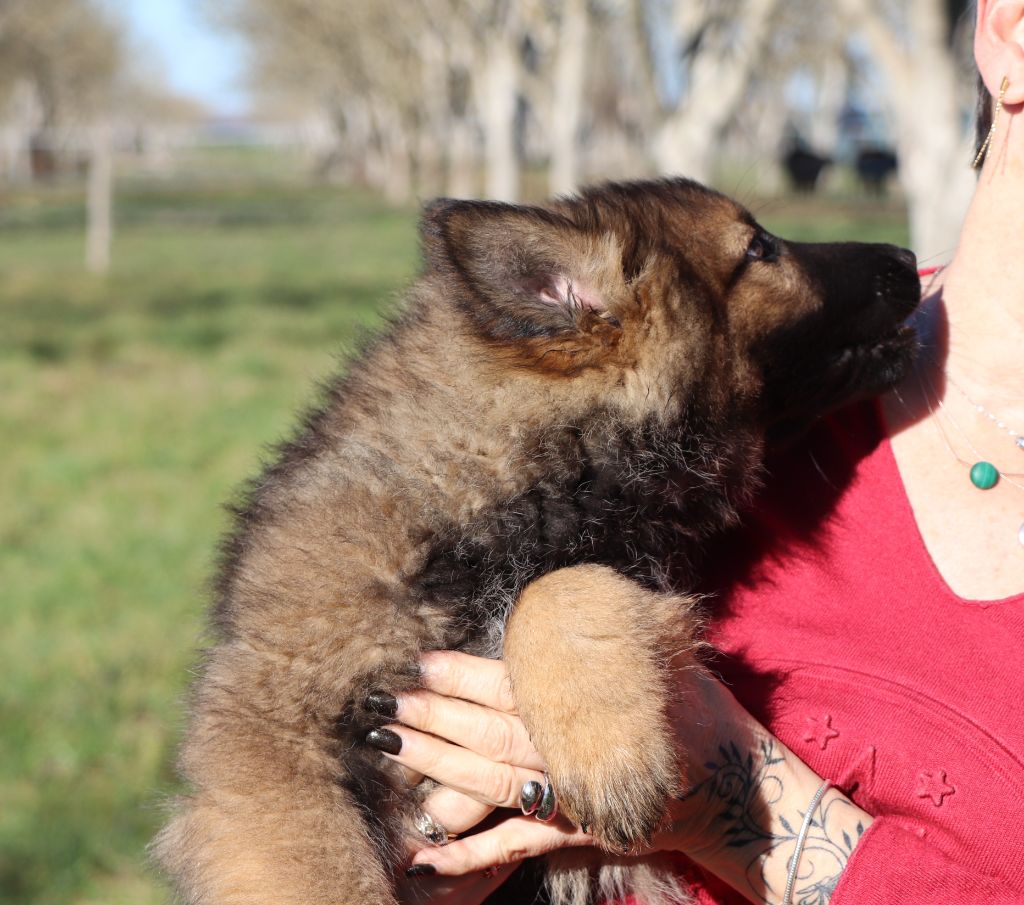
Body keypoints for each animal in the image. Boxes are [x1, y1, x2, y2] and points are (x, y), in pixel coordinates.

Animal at [154, 178, 919, 905]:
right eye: (760, 249)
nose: (908, 258)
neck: (506, 476)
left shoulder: (639, 584)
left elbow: (559, 585)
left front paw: (608, 754)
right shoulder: (268, 744)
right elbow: (318, 874)